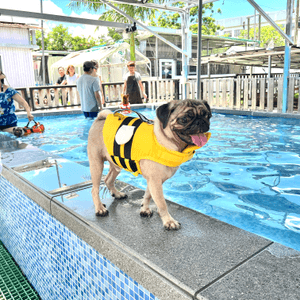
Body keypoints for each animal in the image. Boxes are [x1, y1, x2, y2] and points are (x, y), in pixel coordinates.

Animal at [88, 99, 212, 230]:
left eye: (207, 116)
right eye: (184, 119)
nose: (201, 121)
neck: (165, 141)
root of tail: (101, 118)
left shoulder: (153, 181)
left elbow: (148, 195)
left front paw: (144, 209)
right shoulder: (155, 181)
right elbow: (161, 203)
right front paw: (168, 221)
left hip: (115, 164)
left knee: (108, 180)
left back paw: (117, 194)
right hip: (96, 164)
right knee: (94, 189)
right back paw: (100, 208)